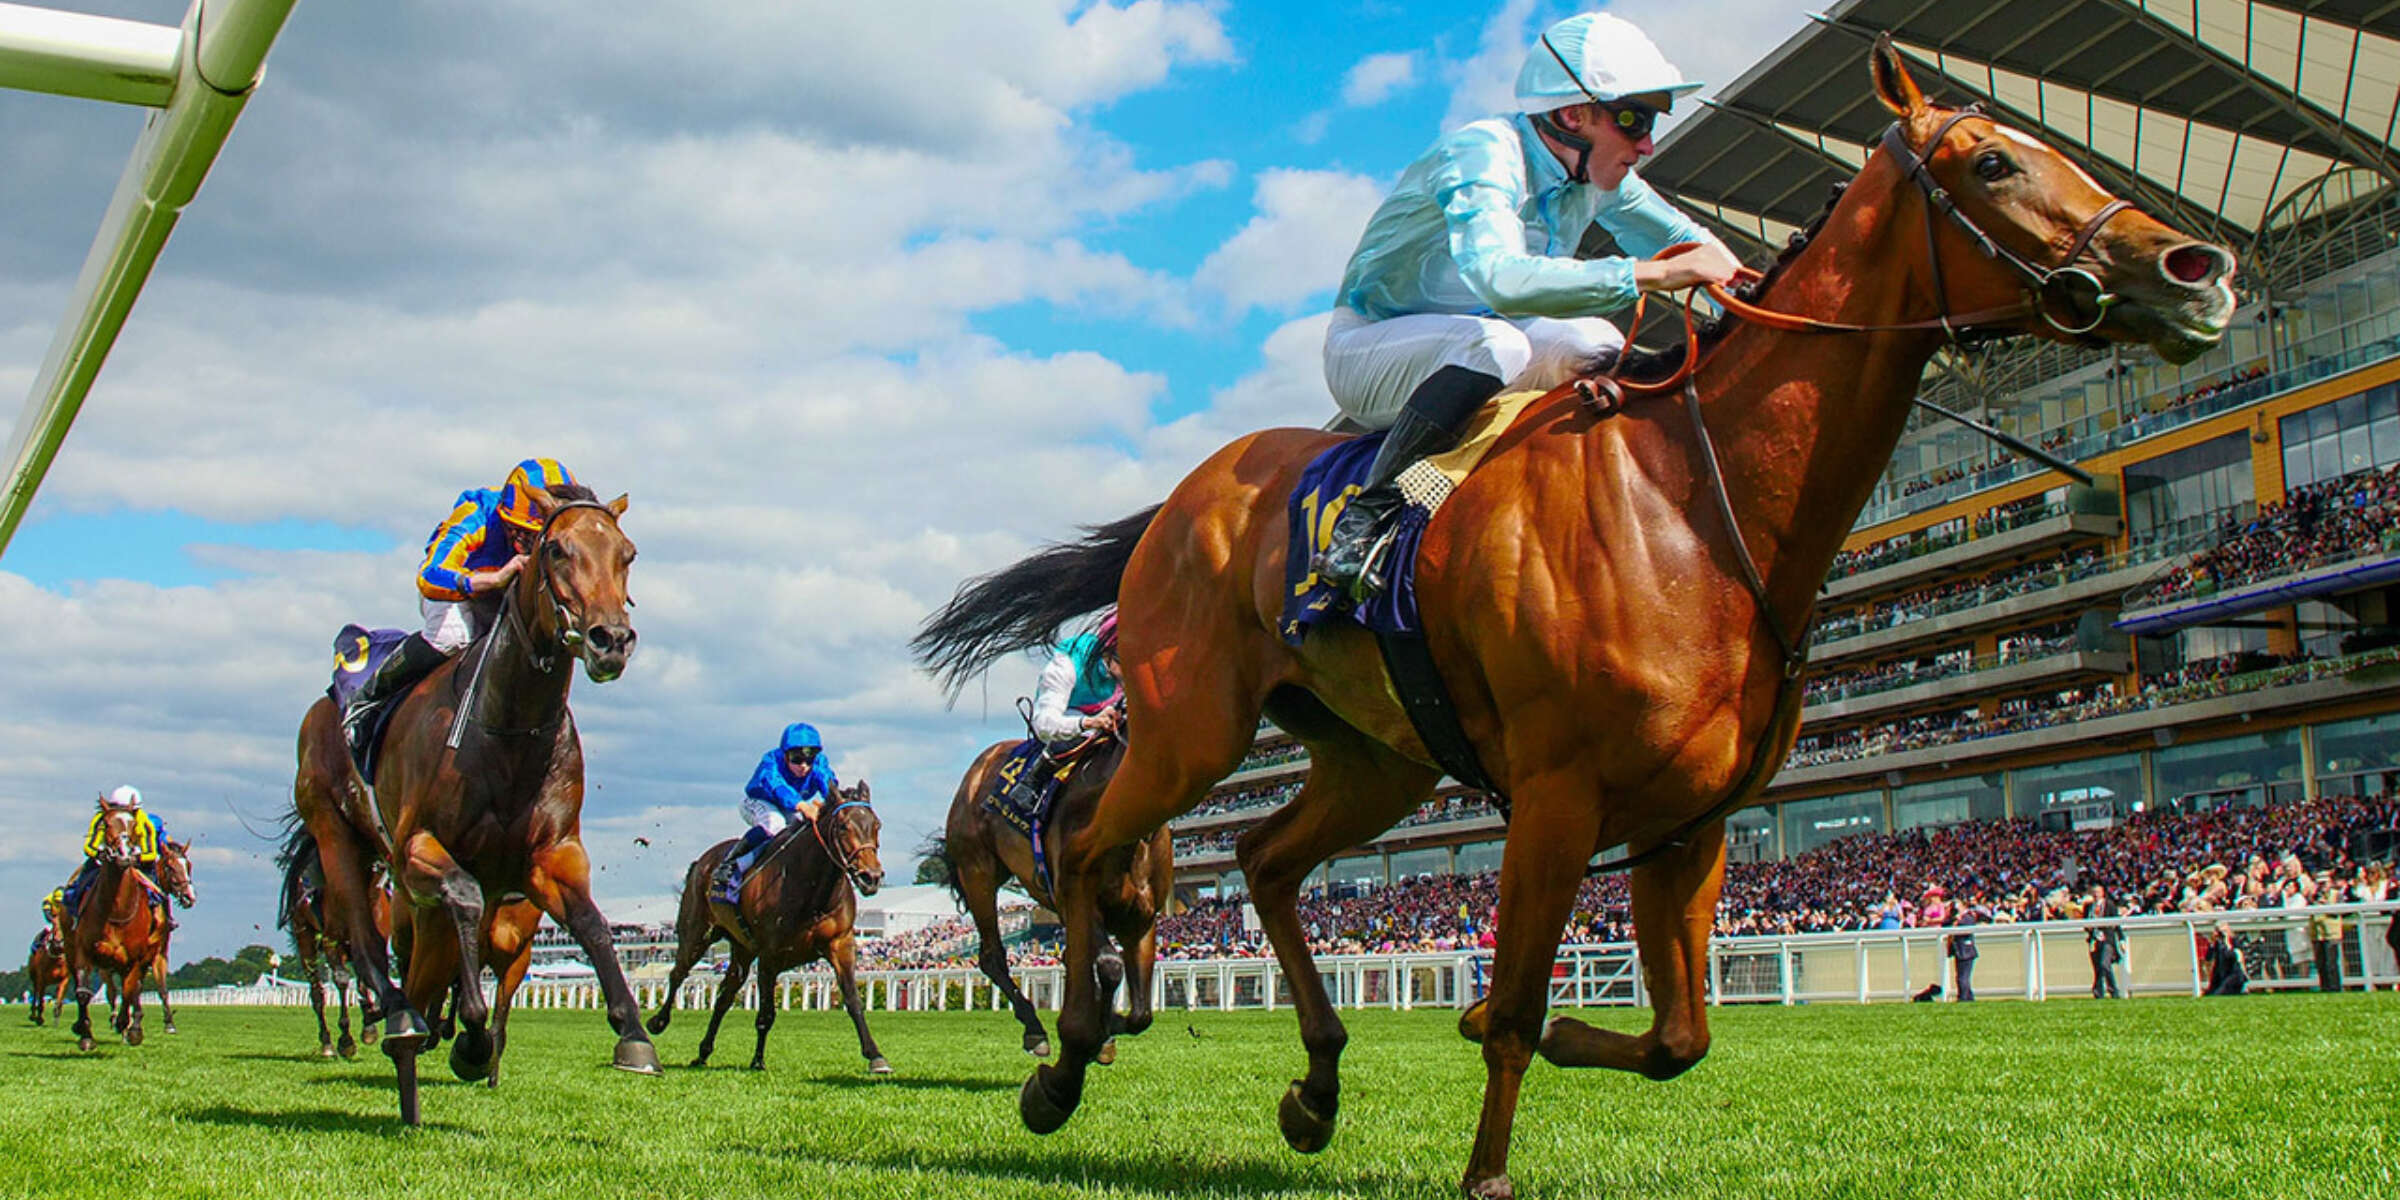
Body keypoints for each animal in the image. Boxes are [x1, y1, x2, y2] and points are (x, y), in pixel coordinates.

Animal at [66, 812, 195, 1051]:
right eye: (171, 867)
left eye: (188, 866)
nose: (189, 896)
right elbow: (133, 988)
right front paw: (130, 1025)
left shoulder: (154, 952)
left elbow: (155, 987)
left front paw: (164, 1023)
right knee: (103, 989)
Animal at [276, 825, 391, 1058]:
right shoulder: (331, 941)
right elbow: (342, 980)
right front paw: (346, 1040)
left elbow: (367, 977)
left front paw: (370, 1022)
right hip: (305, 939)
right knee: (317, 993)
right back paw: (327, 1043)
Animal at [290, 483, 655, 1124]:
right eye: (555, 549)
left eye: (627, 553)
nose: (610, 640)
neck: (510, 725)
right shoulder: (417, 847)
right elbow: (462, 898)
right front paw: (470, 1037)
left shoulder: (550, 857)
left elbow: (592, 924)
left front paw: (633, 1033)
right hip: (338, 833)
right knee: (363, 934)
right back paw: (397, 1016)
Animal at [644, 782, 891, 1074]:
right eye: (843, 826)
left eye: (876, 825)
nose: (871, 877)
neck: (812, 890)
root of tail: (701, 863)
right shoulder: (769, 955)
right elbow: (765, 1013)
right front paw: (758, 1060)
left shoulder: (840, 944)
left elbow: (853, 1001)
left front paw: (876, 1056)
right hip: (696, 933)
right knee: (678, 974)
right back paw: (657, 1022)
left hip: (742, 949)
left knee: (725, 995)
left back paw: (703, 1052)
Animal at [934, 730, 1171, 1060]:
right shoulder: (1079, 902)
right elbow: (1109, 965)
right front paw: (1104, 1031)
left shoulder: (1142, 919)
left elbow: (1141, 1015)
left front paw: (1107, 1028)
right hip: (977, 873)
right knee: (992, 957)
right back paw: (1035, 1029)